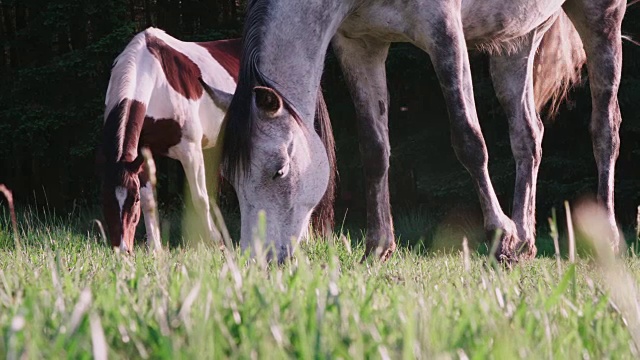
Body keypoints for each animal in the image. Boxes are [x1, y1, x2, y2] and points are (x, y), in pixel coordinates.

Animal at [100, 28, 240, 253]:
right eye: (104, 200)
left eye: (133, 200)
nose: (123, 249)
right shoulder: (141, 155)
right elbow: (150, 200)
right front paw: (155, 249)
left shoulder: (191, 150)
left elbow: (200, 198)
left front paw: (216, 242)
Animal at [221, 0, 624, 262]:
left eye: (279, 171)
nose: (258, 259)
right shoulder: (360, 45)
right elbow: (374, 150)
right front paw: (378, 246)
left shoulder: (443, 31)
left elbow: (469, 141)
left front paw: (500, 236)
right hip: (518, 39)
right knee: (528, 136)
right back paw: (525, 240)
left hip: (601, 17)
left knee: (605, 131)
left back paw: (606, 237)